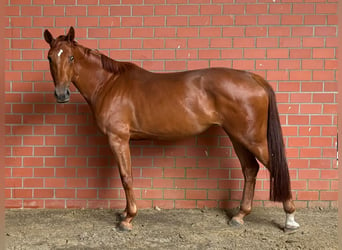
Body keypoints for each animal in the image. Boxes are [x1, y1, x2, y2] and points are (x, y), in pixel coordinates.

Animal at [44, 26, 300, 231]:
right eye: (49, 58)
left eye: (71, 58)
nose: (61, 94)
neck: (109, 84)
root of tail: (253, 77)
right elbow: (125, 176)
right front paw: (125, 213)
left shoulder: (118, 139)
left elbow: (126, 177)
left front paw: (128, 219)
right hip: (237, 137)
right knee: (250, 170)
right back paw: (239, 216)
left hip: (252, 138)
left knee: (275, 167)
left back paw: (290, 219)